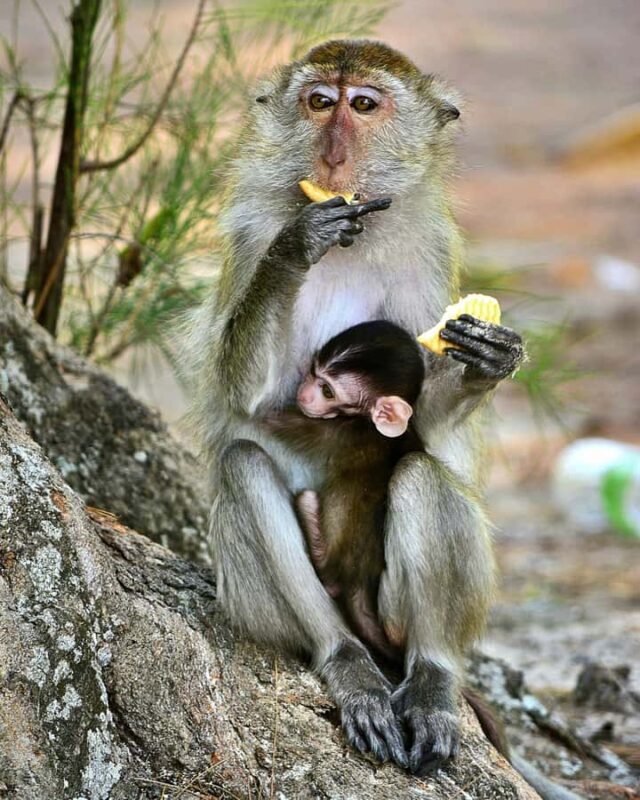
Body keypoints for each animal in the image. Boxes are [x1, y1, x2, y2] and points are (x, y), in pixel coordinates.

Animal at [261, 320, 426, 661]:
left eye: (327, 391)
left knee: (307, 501)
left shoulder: (337, 430)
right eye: (313, 371)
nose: (304, 392)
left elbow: (269, 420)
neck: (370, 424)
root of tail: (358, 576)